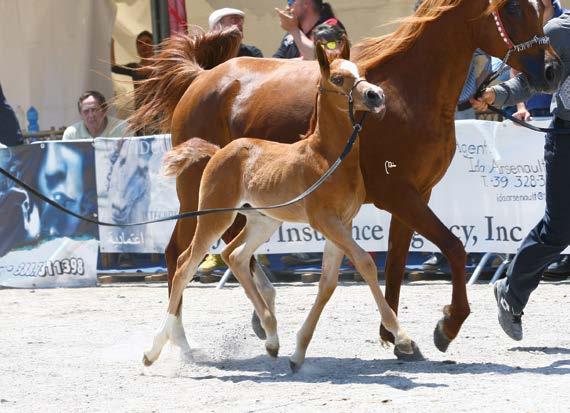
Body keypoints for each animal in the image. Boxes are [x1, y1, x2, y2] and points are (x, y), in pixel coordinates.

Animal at [143, 42, 418, 370]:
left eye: (361, 72)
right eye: (338, 79)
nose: (376, 96)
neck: (326, 158)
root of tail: (217, 151)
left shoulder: (343, 223)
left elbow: (327, 283)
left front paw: (298, 353)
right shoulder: (325, 221)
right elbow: (364, 262)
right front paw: (402, 337)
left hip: (263, 221)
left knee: (234, 255)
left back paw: (272, 337)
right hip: (216, 216)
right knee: (185, 264)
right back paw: (155, 350)